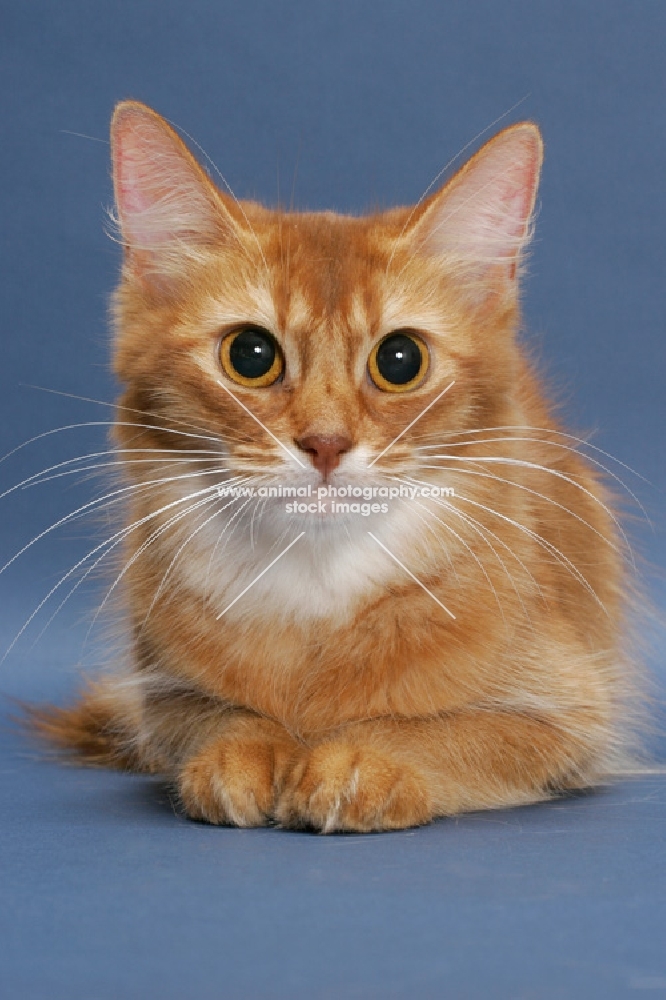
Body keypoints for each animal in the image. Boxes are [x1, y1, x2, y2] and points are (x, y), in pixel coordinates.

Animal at [27, 103, 640, 836]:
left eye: (400, 360)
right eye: (250, 354)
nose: (325, 443)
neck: (317, 592)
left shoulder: (575, 714)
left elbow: (451, 730)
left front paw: (361, 761)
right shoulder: (164, 700)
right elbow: (216, 720)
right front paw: (245, 751)